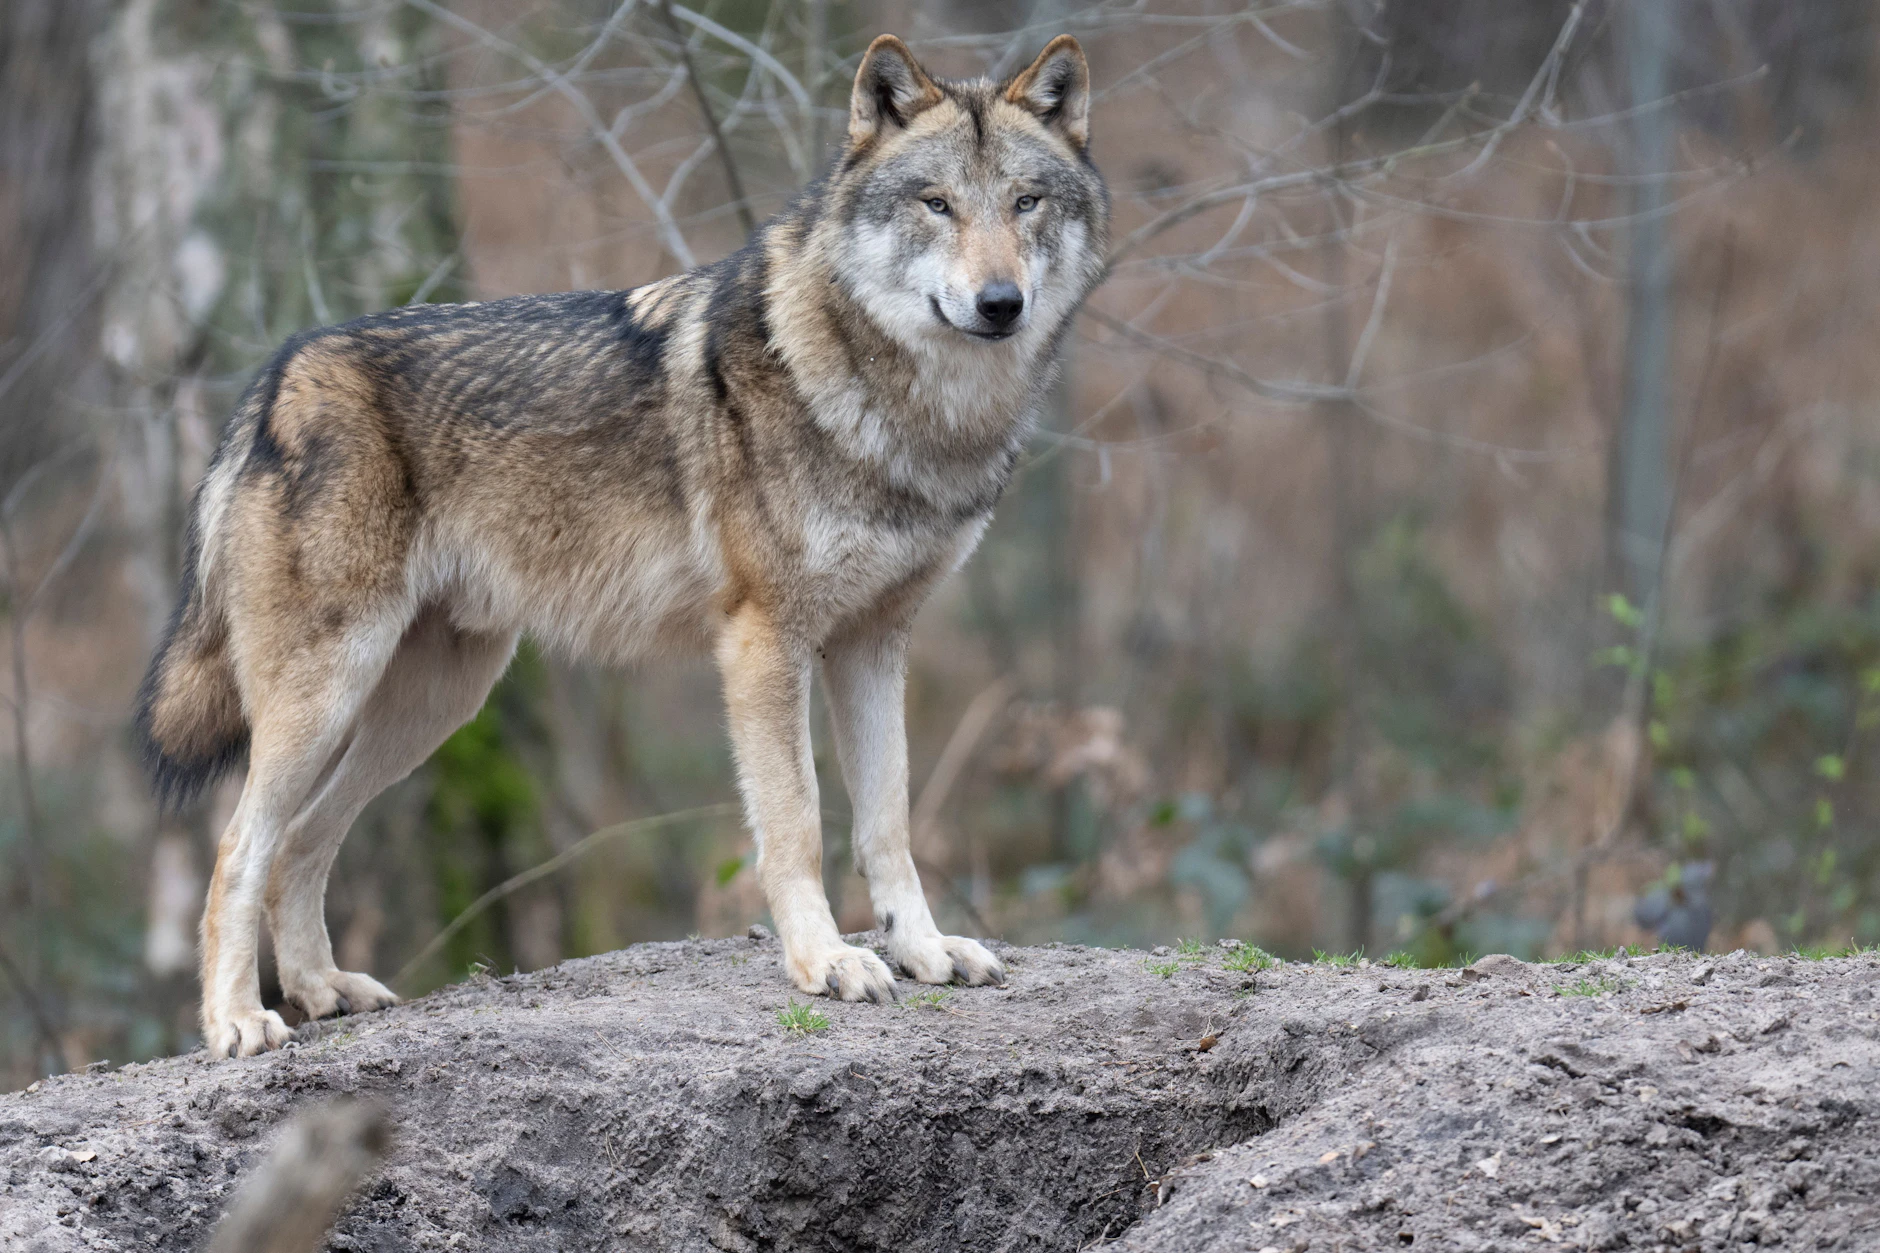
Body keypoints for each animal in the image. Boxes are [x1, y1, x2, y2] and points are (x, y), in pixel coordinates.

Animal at [135, 34, 1109, 1057]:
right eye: (936, 203)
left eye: (1025, 202)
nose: (999, 303)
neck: (909, 415)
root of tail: (275, 377)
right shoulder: (765, 642)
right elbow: (798, 823)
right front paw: (826, 962)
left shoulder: (875, 645)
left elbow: (888, 823)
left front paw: (922, 949)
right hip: (330, 696)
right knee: (239, 847)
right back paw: (237, 1021)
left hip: (430, 706)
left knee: (302, 841)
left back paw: (324, 990)